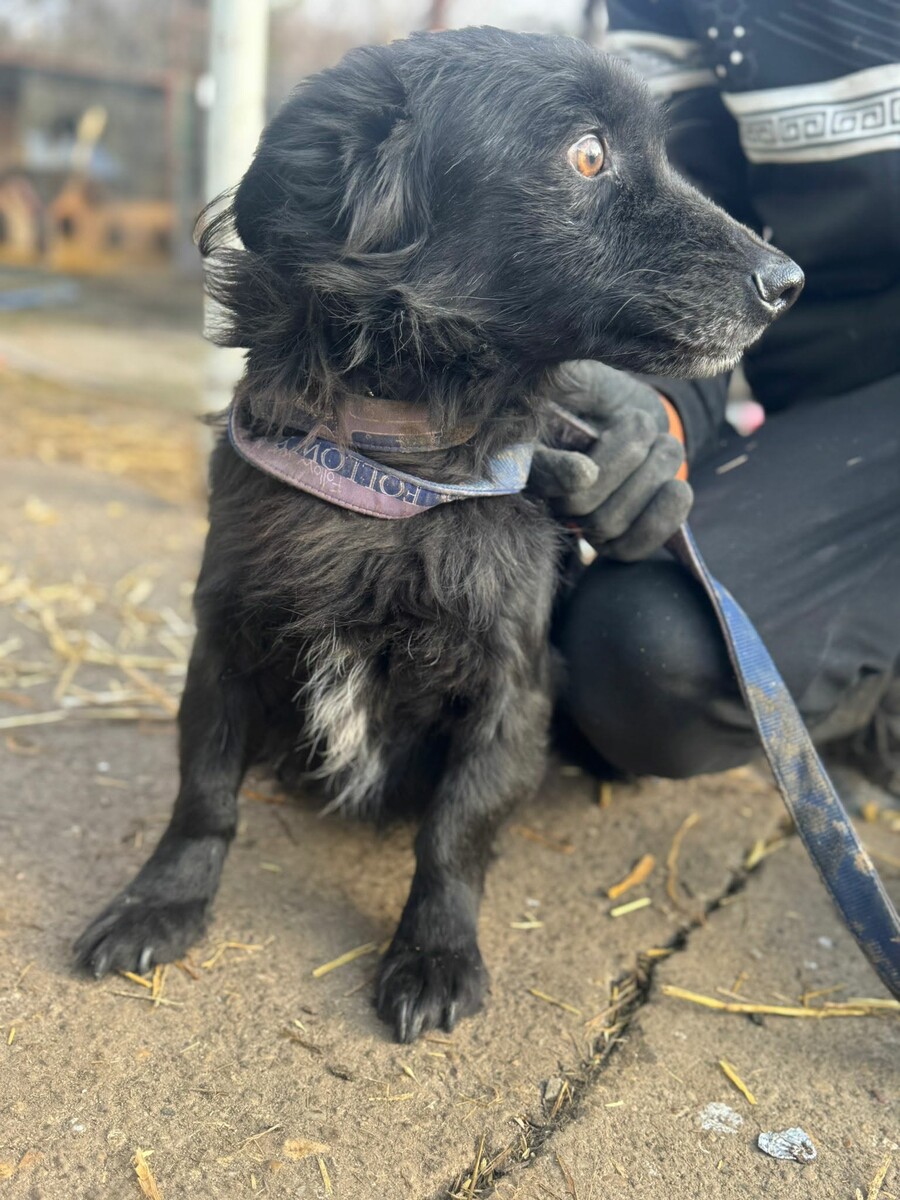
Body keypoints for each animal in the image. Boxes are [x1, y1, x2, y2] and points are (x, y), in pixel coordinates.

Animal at [75, 27, 802, 1042]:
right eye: (588, 154)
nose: (789, 282)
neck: (399, 471)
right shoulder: (224, 641)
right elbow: (204, 794)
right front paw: (159, 903)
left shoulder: (511, 688)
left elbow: (454, 836)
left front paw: (434, 954)